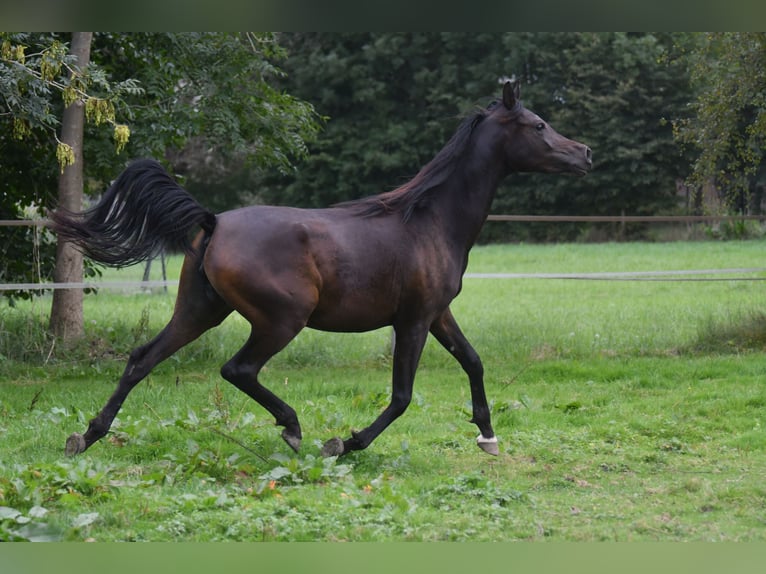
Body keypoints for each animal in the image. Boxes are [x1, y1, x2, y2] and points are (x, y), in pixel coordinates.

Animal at [52, 81, 592, 460]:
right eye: (538, 125)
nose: (585, 154)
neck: (429, 220)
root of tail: (213, 222)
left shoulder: (438, 315)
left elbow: (474, 362)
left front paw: (488, 436)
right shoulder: (413, 321)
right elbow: (402, 396)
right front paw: (345, 443)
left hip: (199, 311)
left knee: (142, 359)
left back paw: (87, 435)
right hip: (282, 319)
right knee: (237, 369)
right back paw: (293, 429)